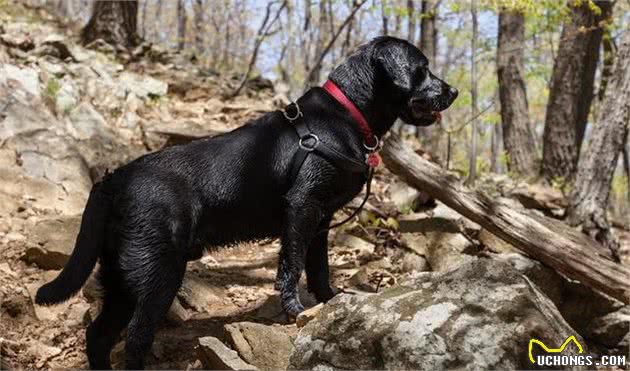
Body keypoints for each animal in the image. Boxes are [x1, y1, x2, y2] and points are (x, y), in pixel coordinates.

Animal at [35, 36, 460, 370]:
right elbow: (291, 266)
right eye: (422, 69)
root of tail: (113, 179)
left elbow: (319, 268)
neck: (347, 114)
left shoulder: (321, 219)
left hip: (121, 278)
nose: (454, 91)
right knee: (137, 336)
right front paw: (295, 311)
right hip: (157, 273)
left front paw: (332, 302)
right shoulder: (302, 208)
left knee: (98, 335)